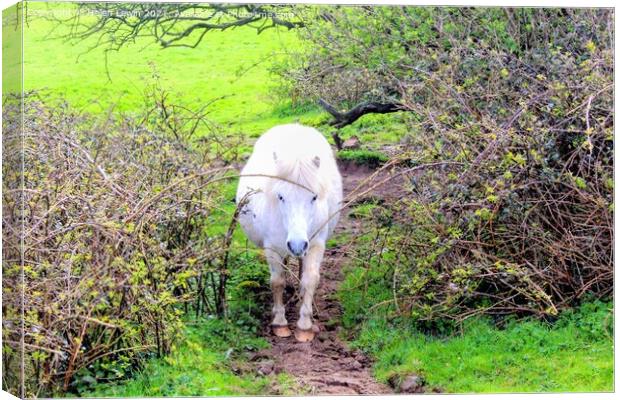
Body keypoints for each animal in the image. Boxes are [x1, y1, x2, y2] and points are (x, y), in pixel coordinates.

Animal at [237, 124, 344, 340]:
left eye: (314, 197)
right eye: (280, 197)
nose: (297, 244)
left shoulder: (316, 243)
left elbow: (310, 279)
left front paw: (304, 326)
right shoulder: (272, 246)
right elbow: (276, 281)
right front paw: (280, 323)